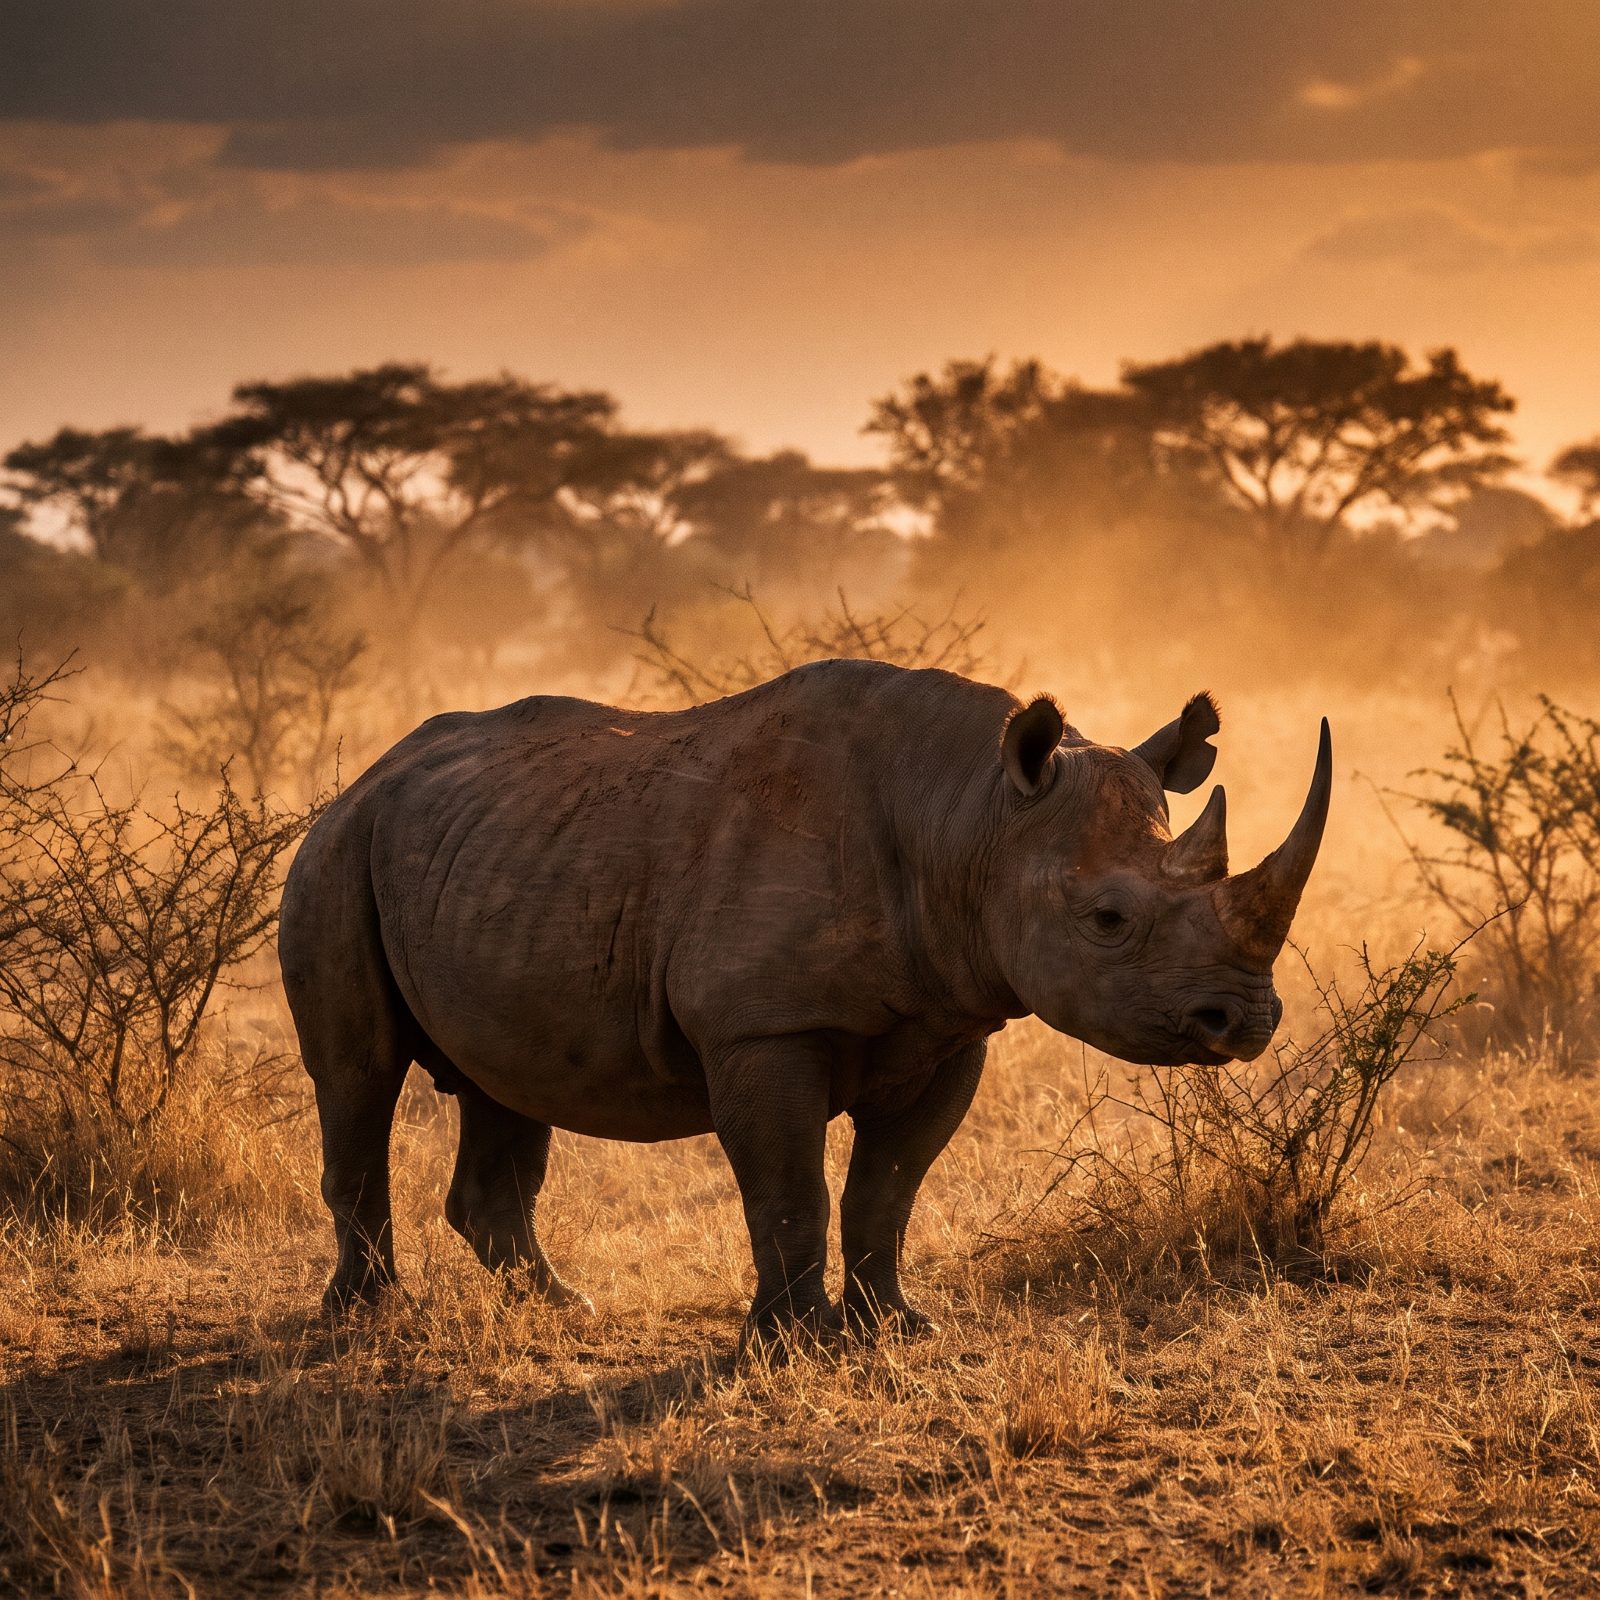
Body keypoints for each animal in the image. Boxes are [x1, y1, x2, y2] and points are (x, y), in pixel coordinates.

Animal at [279, 660, 1330, 1343]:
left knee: (505, 1080)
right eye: (1108, 919)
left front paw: (892, 1327)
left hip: (496, 853)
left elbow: (888, 1185)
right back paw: (371, 1317)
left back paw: (563, 1307)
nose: (1246, 1022)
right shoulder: (761, 1026)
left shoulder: (952, 1022)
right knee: (358, 1075)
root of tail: (368, 774)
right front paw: (789, 1344)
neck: (973, 814)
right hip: (336, 852)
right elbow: (789, 1187)